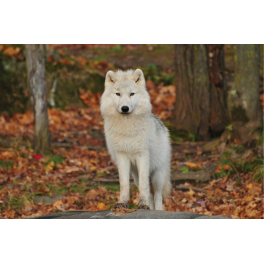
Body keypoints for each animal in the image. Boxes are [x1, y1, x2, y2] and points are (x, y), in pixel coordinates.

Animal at [100, 68, 172, 210]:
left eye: (132, 94)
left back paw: (157, 210)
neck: (127, 127)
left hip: (157, 175)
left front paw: (143, 204)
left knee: (157, 195)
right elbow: (124, 184)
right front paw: (123, 203)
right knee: (150, 194)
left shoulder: (142, 155)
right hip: (136, 175)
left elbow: (145, 186)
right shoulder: (122, 155)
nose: (125, 108)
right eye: (118, 94)